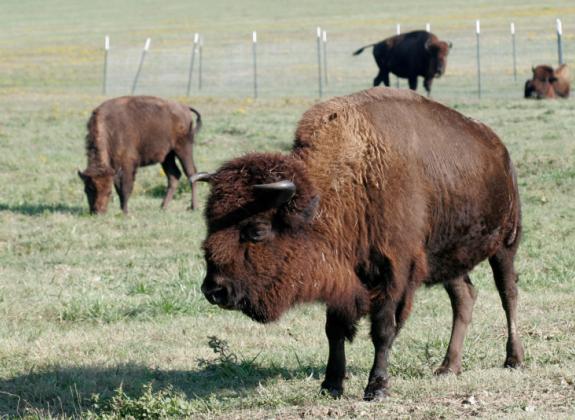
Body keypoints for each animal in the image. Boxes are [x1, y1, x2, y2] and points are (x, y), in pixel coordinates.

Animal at [196, 88, 524, 400]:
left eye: (257, 230)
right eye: (208, 223)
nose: (214, 290)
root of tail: (498, 147)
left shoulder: (394, 273)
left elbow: (383, 330)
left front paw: (377, 387)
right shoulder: (341, 276)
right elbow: (334, 330)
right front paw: (331, 385)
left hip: (505, 245)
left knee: (508, 294)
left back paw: (514, 359)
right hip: (448, 259)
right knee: (464, 297)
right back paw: (448, 367)